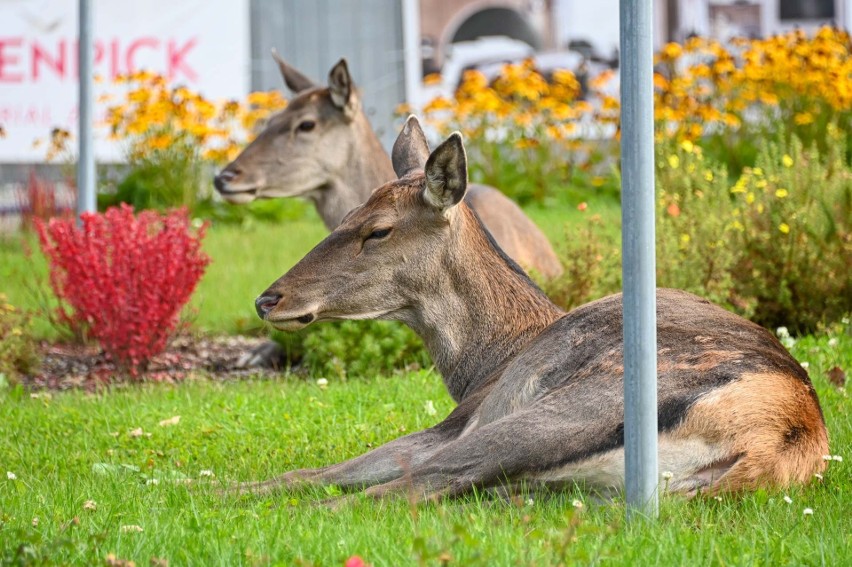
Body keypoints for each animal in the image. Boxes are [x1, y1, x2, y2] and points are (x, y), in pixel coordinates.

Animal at [236, 117, 828, 500]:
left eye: (377, 230)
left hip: (564, 412)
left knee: (412, 486)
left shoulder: (461, 418)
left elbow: (331, 470)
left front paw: (218, 489)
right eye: (345, 214)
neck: (482, 363)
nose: (268, 298)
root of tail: (778, 435)